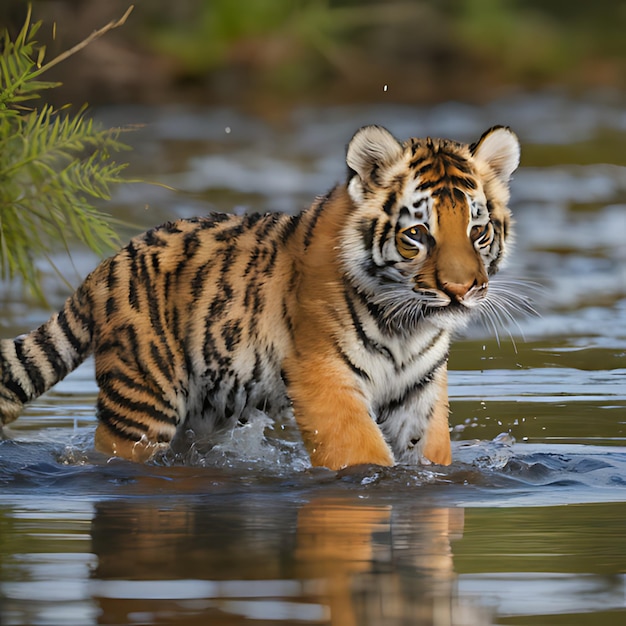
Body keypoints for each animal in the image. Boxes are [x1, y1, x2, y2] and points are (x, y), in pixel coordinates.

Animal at [0, 124, 516, 466]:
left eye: (477, 231)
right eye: (417, 234)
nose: (461, 290)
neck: (408, 324)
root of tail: (105, 266)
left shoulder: (418, 389)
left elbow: (428, 453)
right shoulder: (323, 377)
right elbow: (361, 455)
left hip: (203, 415)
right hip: (142, 405)